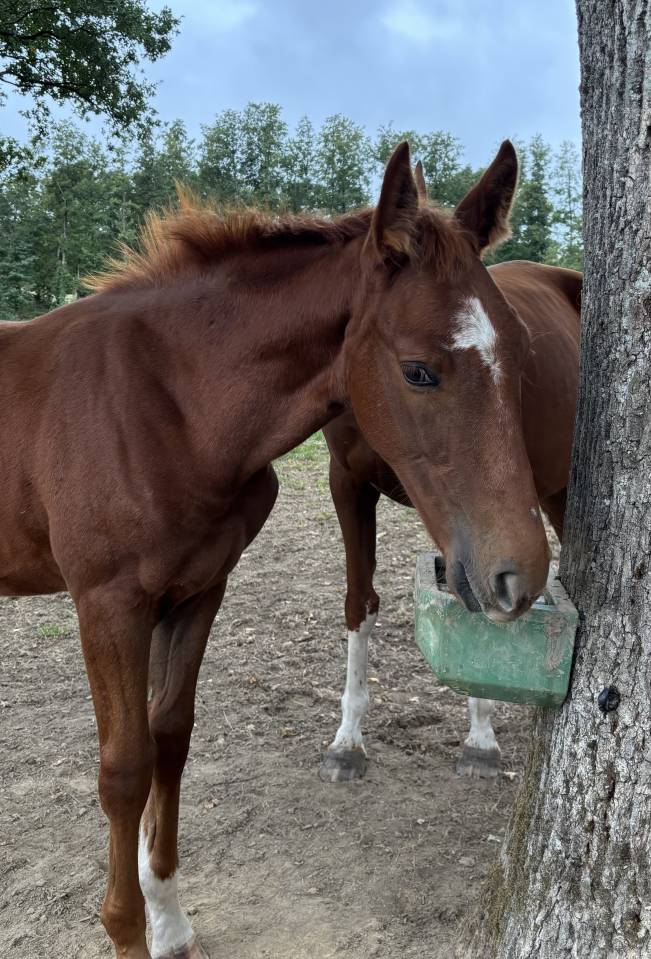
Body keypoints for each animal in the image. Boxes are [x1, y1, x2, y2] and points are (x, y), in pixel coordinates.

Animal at [0, 140, 550, 959]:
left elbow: (170, 736)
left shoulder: (197, 588)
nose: (522, 573)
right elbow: (124, 766)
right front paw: (129, 930)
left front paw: (169, 917)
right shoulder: (108, 603)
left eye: (518, 349)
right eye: (418, 369)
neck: (167, 404)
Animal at [320, 164, 581, 783]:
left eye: (523, 350)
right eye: (418, 371)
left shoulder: (474, 523)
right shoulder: (348, 485)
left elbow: (475, 607)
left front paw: (481, 738)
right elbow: (359, 602)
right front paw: (348, 739)